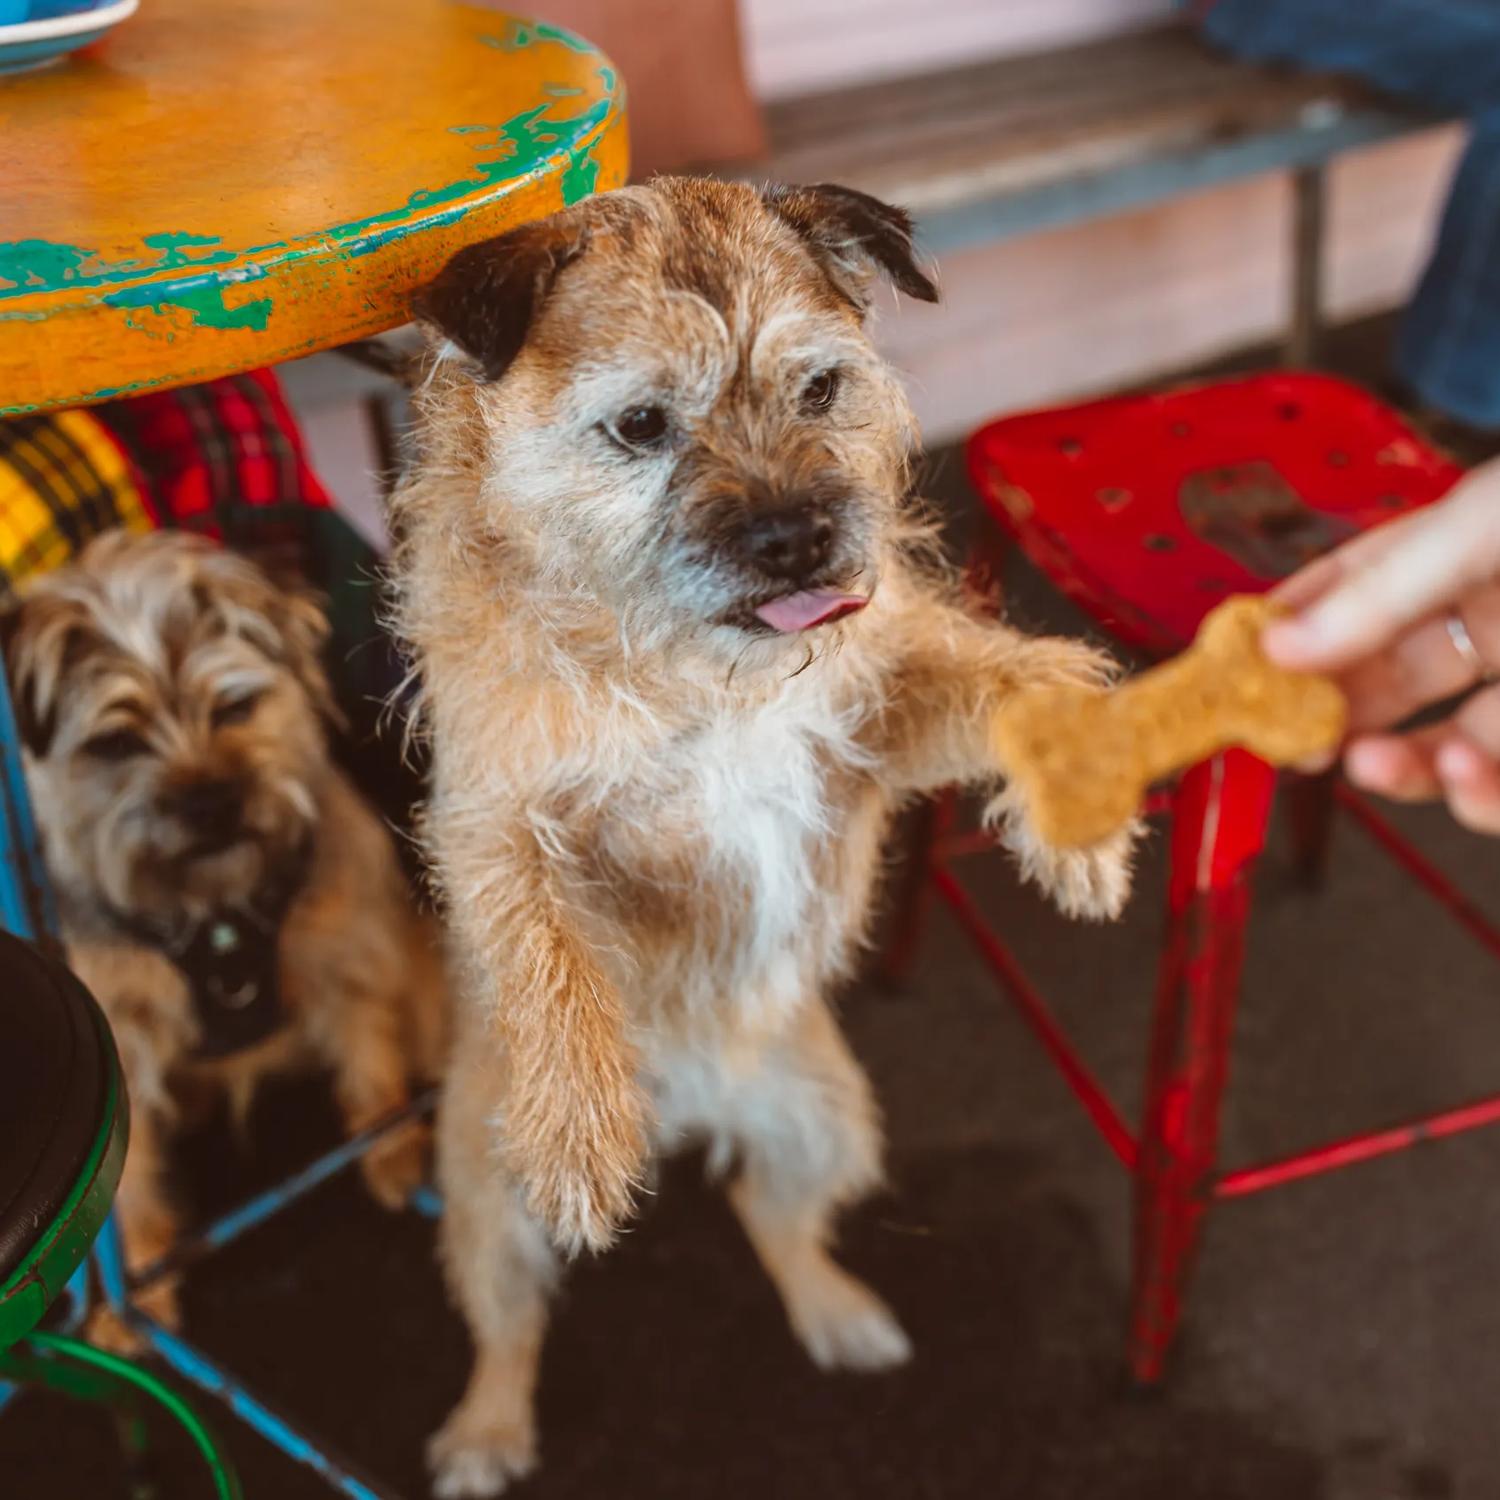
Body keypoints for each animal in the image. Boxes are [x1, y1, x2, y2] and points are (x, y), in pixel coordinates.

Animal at [1, 534, 444, 1332]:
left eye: (235, 704)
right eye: (116, 742)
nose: (211, 801)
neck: (213, 910)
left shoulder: (348, 946)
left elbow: (368, 1050)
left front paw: (393, 1145)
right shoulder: (122, 1041)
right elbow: (127, 1177)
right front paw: (132, 1294)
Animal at [390, 172, 1134, 1488]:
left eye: (819, 388)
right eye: (641, 425)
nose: (797, 540)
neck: (699, 669)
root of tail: (699, 1112)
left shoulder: (876, 715)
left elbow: (1018, 680)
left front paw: (1082, 820)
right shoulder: (494, 814)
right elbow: (538, 935)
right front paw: (581, 1132)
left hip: (825, 1124)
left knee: (770, 1218)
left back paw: (838, 1313)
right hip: (480, 1194)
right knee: (507, 1323)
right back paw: (487, 1428)